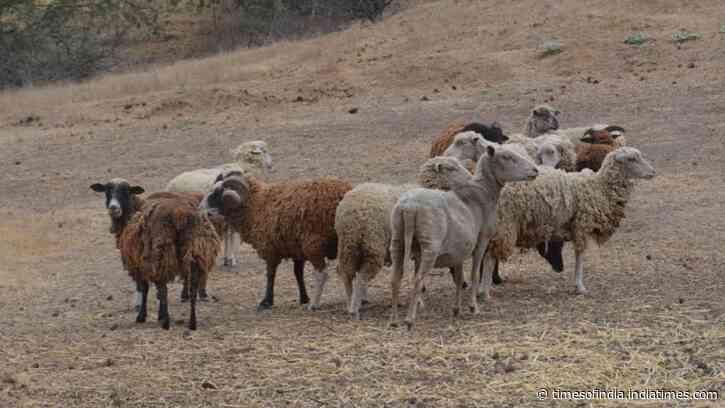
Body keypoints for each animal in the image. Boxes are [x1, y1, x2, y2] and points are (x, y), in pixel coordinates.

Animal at [90, 180, 220, 330]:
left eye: (126, 191)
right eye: (107, 191)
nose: (113, 208)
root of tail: (180, 214)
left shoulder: (139, 262)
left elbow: (144, 288)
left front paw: (143, 316)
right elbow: (156, 292)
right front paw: (159, 314)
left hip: (162, 253)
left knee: (164, 288)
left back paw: (166, 322)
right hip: (196, 252)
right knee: (192, 287)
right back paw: (192, 323)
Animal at [200, 173, 352, 311]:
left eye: (217, 194)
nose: (201, 210)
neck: (256, 205)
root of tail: (342, 194)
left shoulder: (270, 249)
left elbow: (270, 275)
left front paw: (266, 302)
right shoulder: (296, 250)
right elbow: (298, 274)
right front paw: (303, 298)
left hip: (314, 245)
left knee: (322, 274)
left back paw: (314, 305)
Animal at [389, 149, 539, 329]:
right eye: (507, 157)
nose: (535, 170)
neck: (483, 191)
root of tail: (409, 207)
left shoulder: (459, 249)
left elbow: (459, 278)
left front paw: (456, 309)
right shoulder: (482, 240)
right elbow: (474, 273)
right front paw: (473, 306)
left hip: (398, 241)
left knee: (395, 279)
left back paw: (394, 321)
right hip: (430, 245)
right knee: (418, 280)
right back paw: (409, 320)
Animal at [478, 147, 656, 299]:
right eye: (632, 159)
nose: (653, 172)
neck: (598, 187)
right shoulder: (581, 225)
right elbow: (579, 255)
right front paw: (580, 286)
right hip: (505, 225)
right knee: (489, 258)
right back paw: (485, 292)